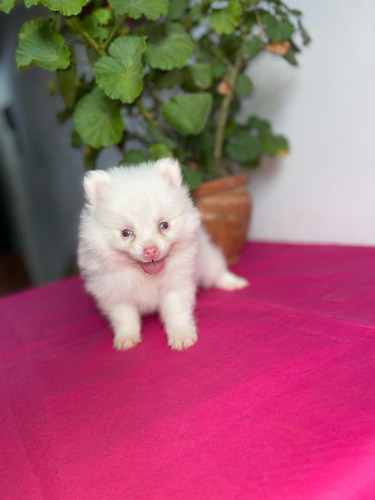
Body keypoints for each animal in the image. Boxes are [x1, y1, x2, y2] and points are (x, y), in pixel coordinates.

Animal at [78, 158, 250, 350]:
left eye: (164, 225)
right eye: (126, 233)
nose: (150, 250)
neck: (145, 276)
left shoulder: (176, 285)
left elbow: (176, 311)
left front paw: (181, 335)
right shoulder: (115, 294)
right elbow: (125, 318)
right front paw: (126, 338)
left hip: (206, 261)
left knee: (217, 271)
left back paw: (234, 282)